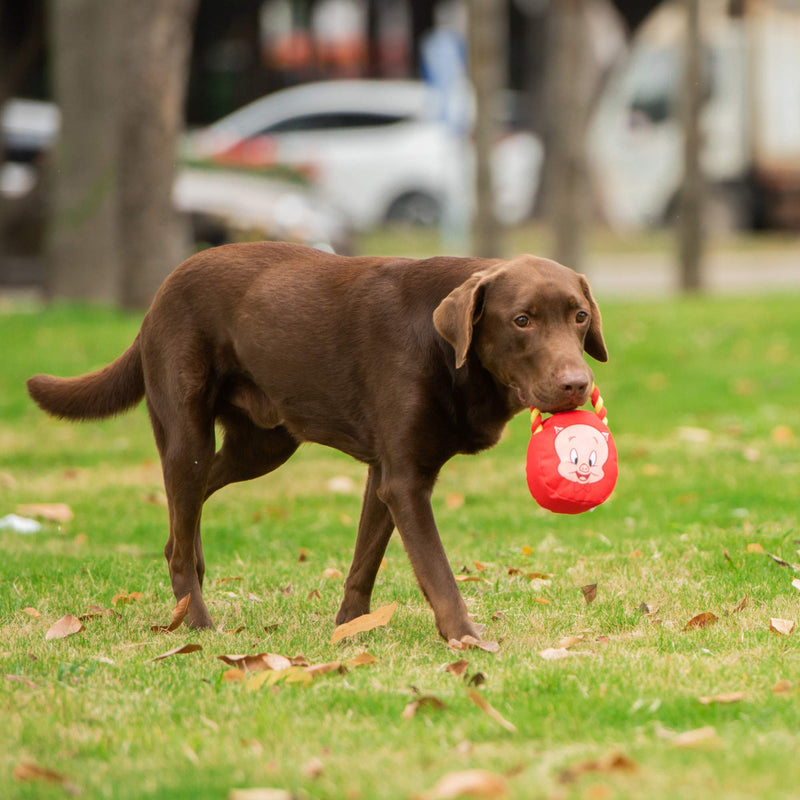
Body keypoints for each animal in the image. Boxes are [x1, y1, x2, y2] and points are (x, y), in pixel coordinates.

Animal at [26, 241, 608, 640]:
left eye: (579, 316)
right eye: (522, 320)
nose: (577, 384)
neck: (451, 353)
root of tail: (159, 294)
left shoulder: (386, 476)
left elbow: (364, 561)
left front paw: (349, 628)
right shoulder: (405, 481)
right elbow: (437, 569)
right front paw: (464, 637)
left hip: (261, 447)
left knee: (184, 516)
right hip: (187, 432)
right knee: (182, 514)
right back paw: (196, 622)